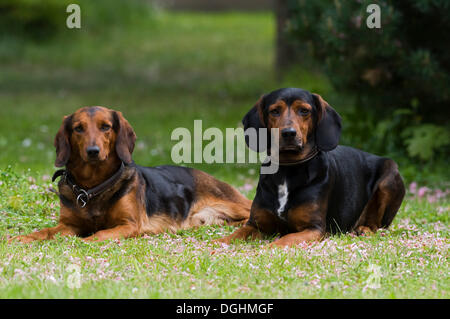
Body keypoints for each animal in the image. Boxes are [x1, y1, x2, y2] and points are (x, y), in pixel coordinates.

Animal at [10, 106, 250, 244]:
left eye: (105, 126)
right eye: (78, 128)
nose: (93, 151)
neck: (92, 187)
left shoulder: (129, 224)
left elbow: (99, 234)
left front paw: (85, 242)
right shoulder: (69, 226)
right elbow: (44, 232)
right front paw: (23, 237)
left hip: (234, 203)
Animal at [218, 89, 404, 249]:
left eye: (304, 110)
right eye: (275, 111)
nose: (289, 133)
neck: (287, 170)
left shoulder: (314, 228)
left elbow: (286, 238)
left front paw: (266, 249)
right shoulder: (256, 225)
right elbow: (234, 235)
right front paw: (217, 244)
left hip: (389, 174)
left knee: (378, 225)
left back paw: (365, 229)